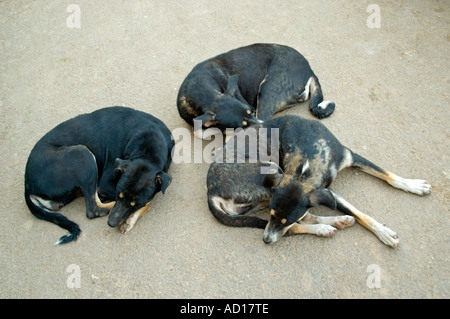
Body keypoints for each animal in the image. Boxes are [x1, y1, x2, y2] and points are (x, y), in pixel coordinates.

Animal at [24, 107, 174, 245]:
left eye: (135, 203)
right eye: (119, 194)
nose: (111, 223)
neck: (149, 149)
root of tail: (27, 185)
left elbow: (145, 203)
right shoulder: (105, 184)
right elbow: (148, 202)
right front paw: (130, 218)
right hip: (82, 154)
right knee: (94, 209)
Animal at [208, 115, 432, 248]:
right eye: (272, 216)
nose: (266, 240)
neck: (308, 159)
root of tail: (211, 191)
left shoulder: (347, 162)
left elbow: (387, 176)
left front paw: (413, 185)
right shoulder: (322, 193)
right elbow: (358, 214)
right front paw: (384, 233)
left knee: (303, 219)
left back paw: (336, 222)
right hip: (268, 174)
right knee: (300, 224)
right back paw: (327, 227)